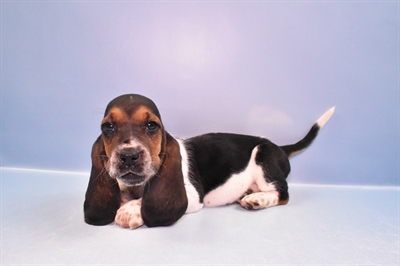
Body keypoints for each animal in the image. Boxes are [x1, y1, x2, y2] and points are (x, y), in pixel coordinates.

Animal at [84, 94, 334, 230]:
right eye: (108, 127)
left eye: (151, 125)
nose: (128, 156)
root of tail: (281, 148)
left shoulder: (192, 196)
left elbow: (144, 200)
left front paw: (131, 210)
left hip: (264, 157)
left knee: (283, 194)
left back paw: (258, 199)